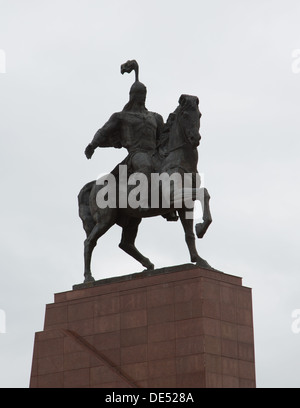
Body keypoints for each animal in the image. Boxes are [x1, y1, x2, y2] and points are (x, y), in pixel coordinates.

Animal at [78, 94, 212, 282]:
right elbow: (204, 193)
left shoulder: (185, 204)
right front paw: (200, 228)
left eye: (199, 115)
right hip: (106, 219)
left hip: (132, 219)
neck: (177, 159)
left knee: (126, 244)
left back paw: (148, 265)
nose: (195, 139)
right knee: (89, 242)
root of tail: (94, 184)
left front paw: (198, 258)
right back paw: (88, 278)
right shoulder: (173, 195)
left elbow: (189, 234)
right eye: (185, 114)